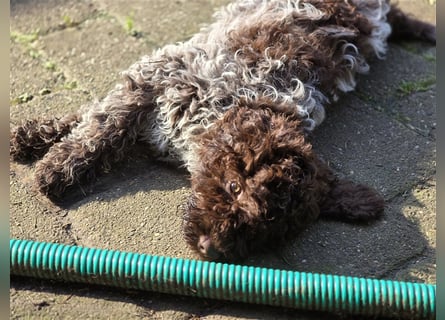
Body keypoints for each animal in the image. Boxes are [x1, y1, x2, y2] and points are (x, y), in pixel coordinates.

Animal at [10, 0, 434, 260]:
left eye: (269, 233)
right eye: (233, 187)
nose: (211, 249)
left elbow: (99, 120)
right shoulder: (158, 76)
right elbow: (98, 122)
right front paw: (49, 158)